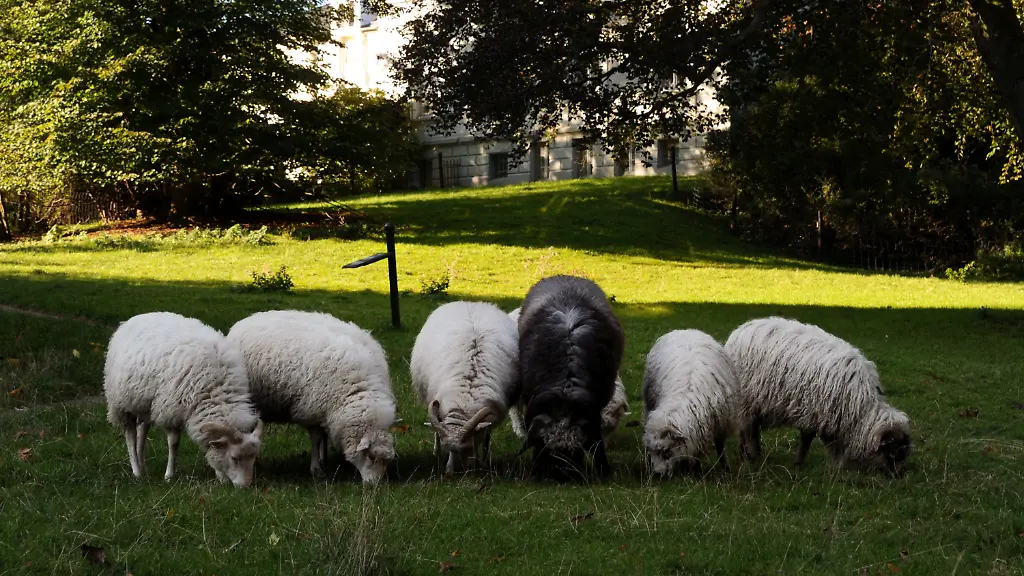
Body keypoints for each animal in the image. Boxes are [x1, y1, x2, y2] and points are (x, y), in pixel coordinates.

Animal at [103, 312, 264, 487]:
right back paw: (137, 471)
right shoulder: (171, 410)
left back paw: (143, 465)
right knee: (130, 435)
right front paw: (169, 475)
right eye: (235, 458)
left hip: (145, 403)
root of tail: (134, 318)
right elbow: (174, 443)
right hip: (121, 403)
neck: (216, 389)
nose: (246, 486)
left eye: (254, 457)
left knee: (142, 431)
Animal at [226, 310, 397, 484]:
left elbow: (324, 436)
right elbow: (316, 440)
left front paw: (324, 460)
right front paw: (316, 469)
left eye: (387, 461)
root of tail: (244, 321)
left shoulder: (326, 409)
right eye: (371, 457)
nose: (374, 485)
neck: (357, 389)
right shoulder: (312, 410)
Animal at [410, 301, 520, 473]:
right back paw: (436, 452)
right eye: (449, 449)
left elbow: (486, 438)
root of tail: (472, 303)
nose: (452, 473)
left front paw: (482, 462)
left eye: (468, 446)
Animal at [642, 329, 738, 476]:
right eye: (650, 450)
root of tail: (684, 330)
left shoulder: (720, 425)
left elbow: (720, 447)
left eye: (666, 451)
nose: (657, 474)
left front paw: (725, 469)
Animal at [725, 317, 912, 476]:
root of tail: (740, 331)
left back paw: (746, 454)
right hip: (748, 400)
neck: (861, 410)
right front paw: (801, 463)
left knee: (748, 429)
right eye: (894, 451)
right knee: (749, 431)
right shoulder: (815, 413)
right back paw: (754, 457)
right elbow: (808, 440)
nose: (899, 475)